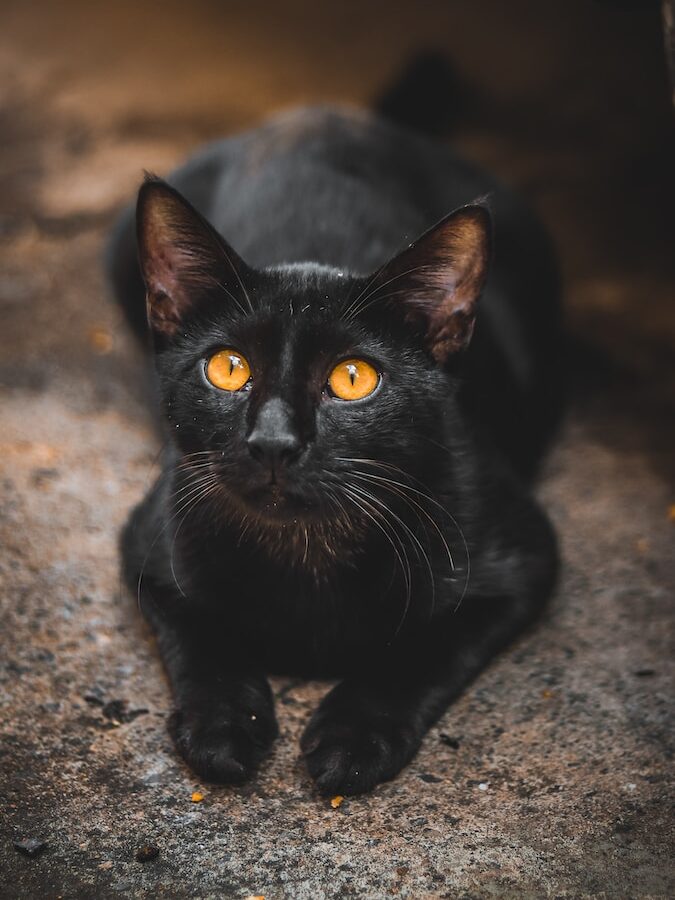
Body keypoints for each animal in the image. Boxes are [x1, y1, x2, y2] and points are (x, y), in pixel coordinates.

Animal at [108, 96, 564, 796]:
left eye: (353, 379)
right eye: (228, 368)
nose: (273, 441)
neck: (306, 552)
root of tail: (327, 111)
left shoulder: (522, 558)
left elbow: (421, 648)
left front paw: (354, 736)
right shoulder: (150, 542)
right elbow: (200, 633)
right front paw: (222, 726)